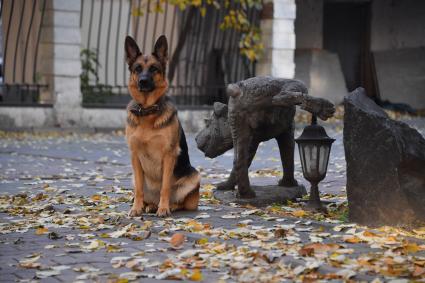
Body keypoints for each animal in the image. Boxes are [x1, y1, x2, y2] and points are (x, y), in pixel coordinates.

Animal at [124, 35, 200, 217]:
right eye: (137, 68)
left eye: (153, 69)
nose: (143, 81)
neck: (147, 111)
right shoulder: (135, 156)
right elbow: (138, 189)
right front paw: (136, 208)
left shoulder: (168, 155)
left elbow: (165, 187)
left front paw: (164, 208)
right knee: (145, 194)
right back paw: (149, 205)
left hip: (194, 176)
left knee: (180, 201)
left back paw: (168, 206)